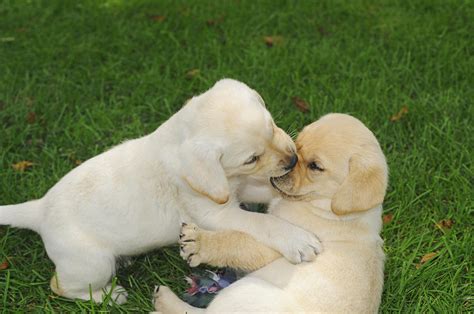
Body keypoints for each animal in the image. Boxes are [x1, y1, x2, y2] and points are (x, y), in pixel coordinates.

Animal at [0, 78, 320, 304]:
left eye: (272, 125)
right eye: (251, 158)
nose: (293, 160)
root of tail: (40, 208)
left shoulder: (244, 187)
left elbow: (271, 192)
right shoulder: (215, 212)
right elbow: (262, 221)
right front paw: (297, 239)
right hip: (91, 264)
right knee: (61, 287)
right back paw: (109, 296)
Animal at [154, 113, 386, 314]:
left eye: (315, 166)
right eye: (298, 143)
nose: (291, 162)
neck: (326, 206)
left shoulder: (278, 247)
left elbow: (237, 241)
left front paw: (198, 242)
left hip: (244, 289)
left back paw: (164, 299)